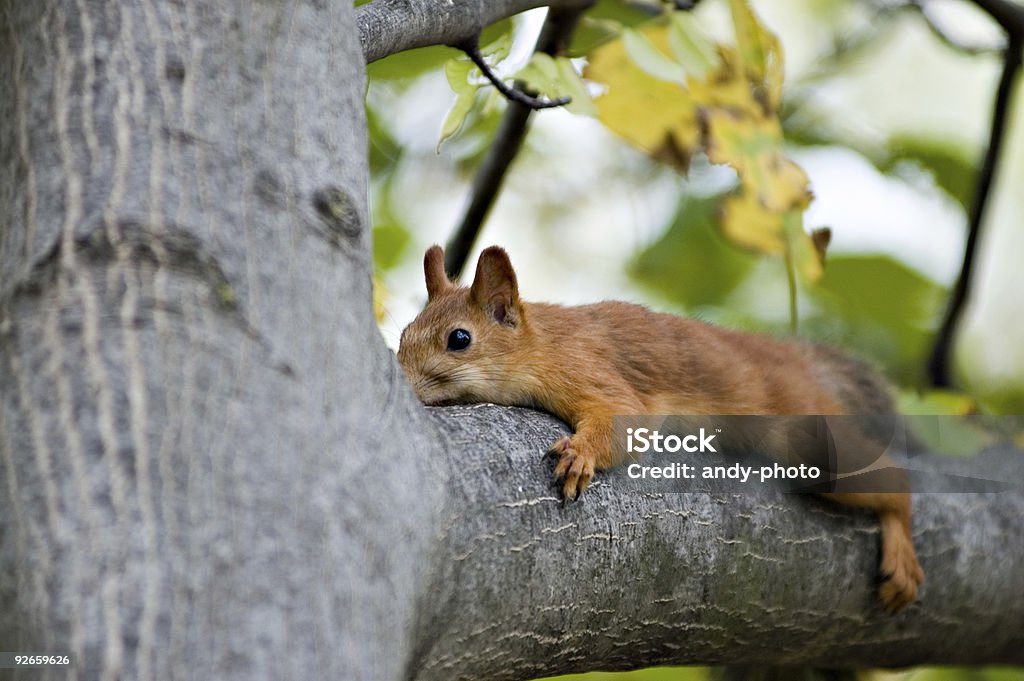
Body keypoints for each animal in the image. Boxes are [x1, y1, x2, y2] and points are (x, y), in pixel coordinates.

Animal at [395, 242, 925, 610]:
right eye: (402, 333)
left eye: (459, 339)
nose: (403, 383)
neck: (541, 342)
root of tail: (796, 361)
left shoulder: (589, 369)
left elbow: (621, 418)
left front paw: (580, 454)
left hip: (812, 444)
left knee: (893, 482)